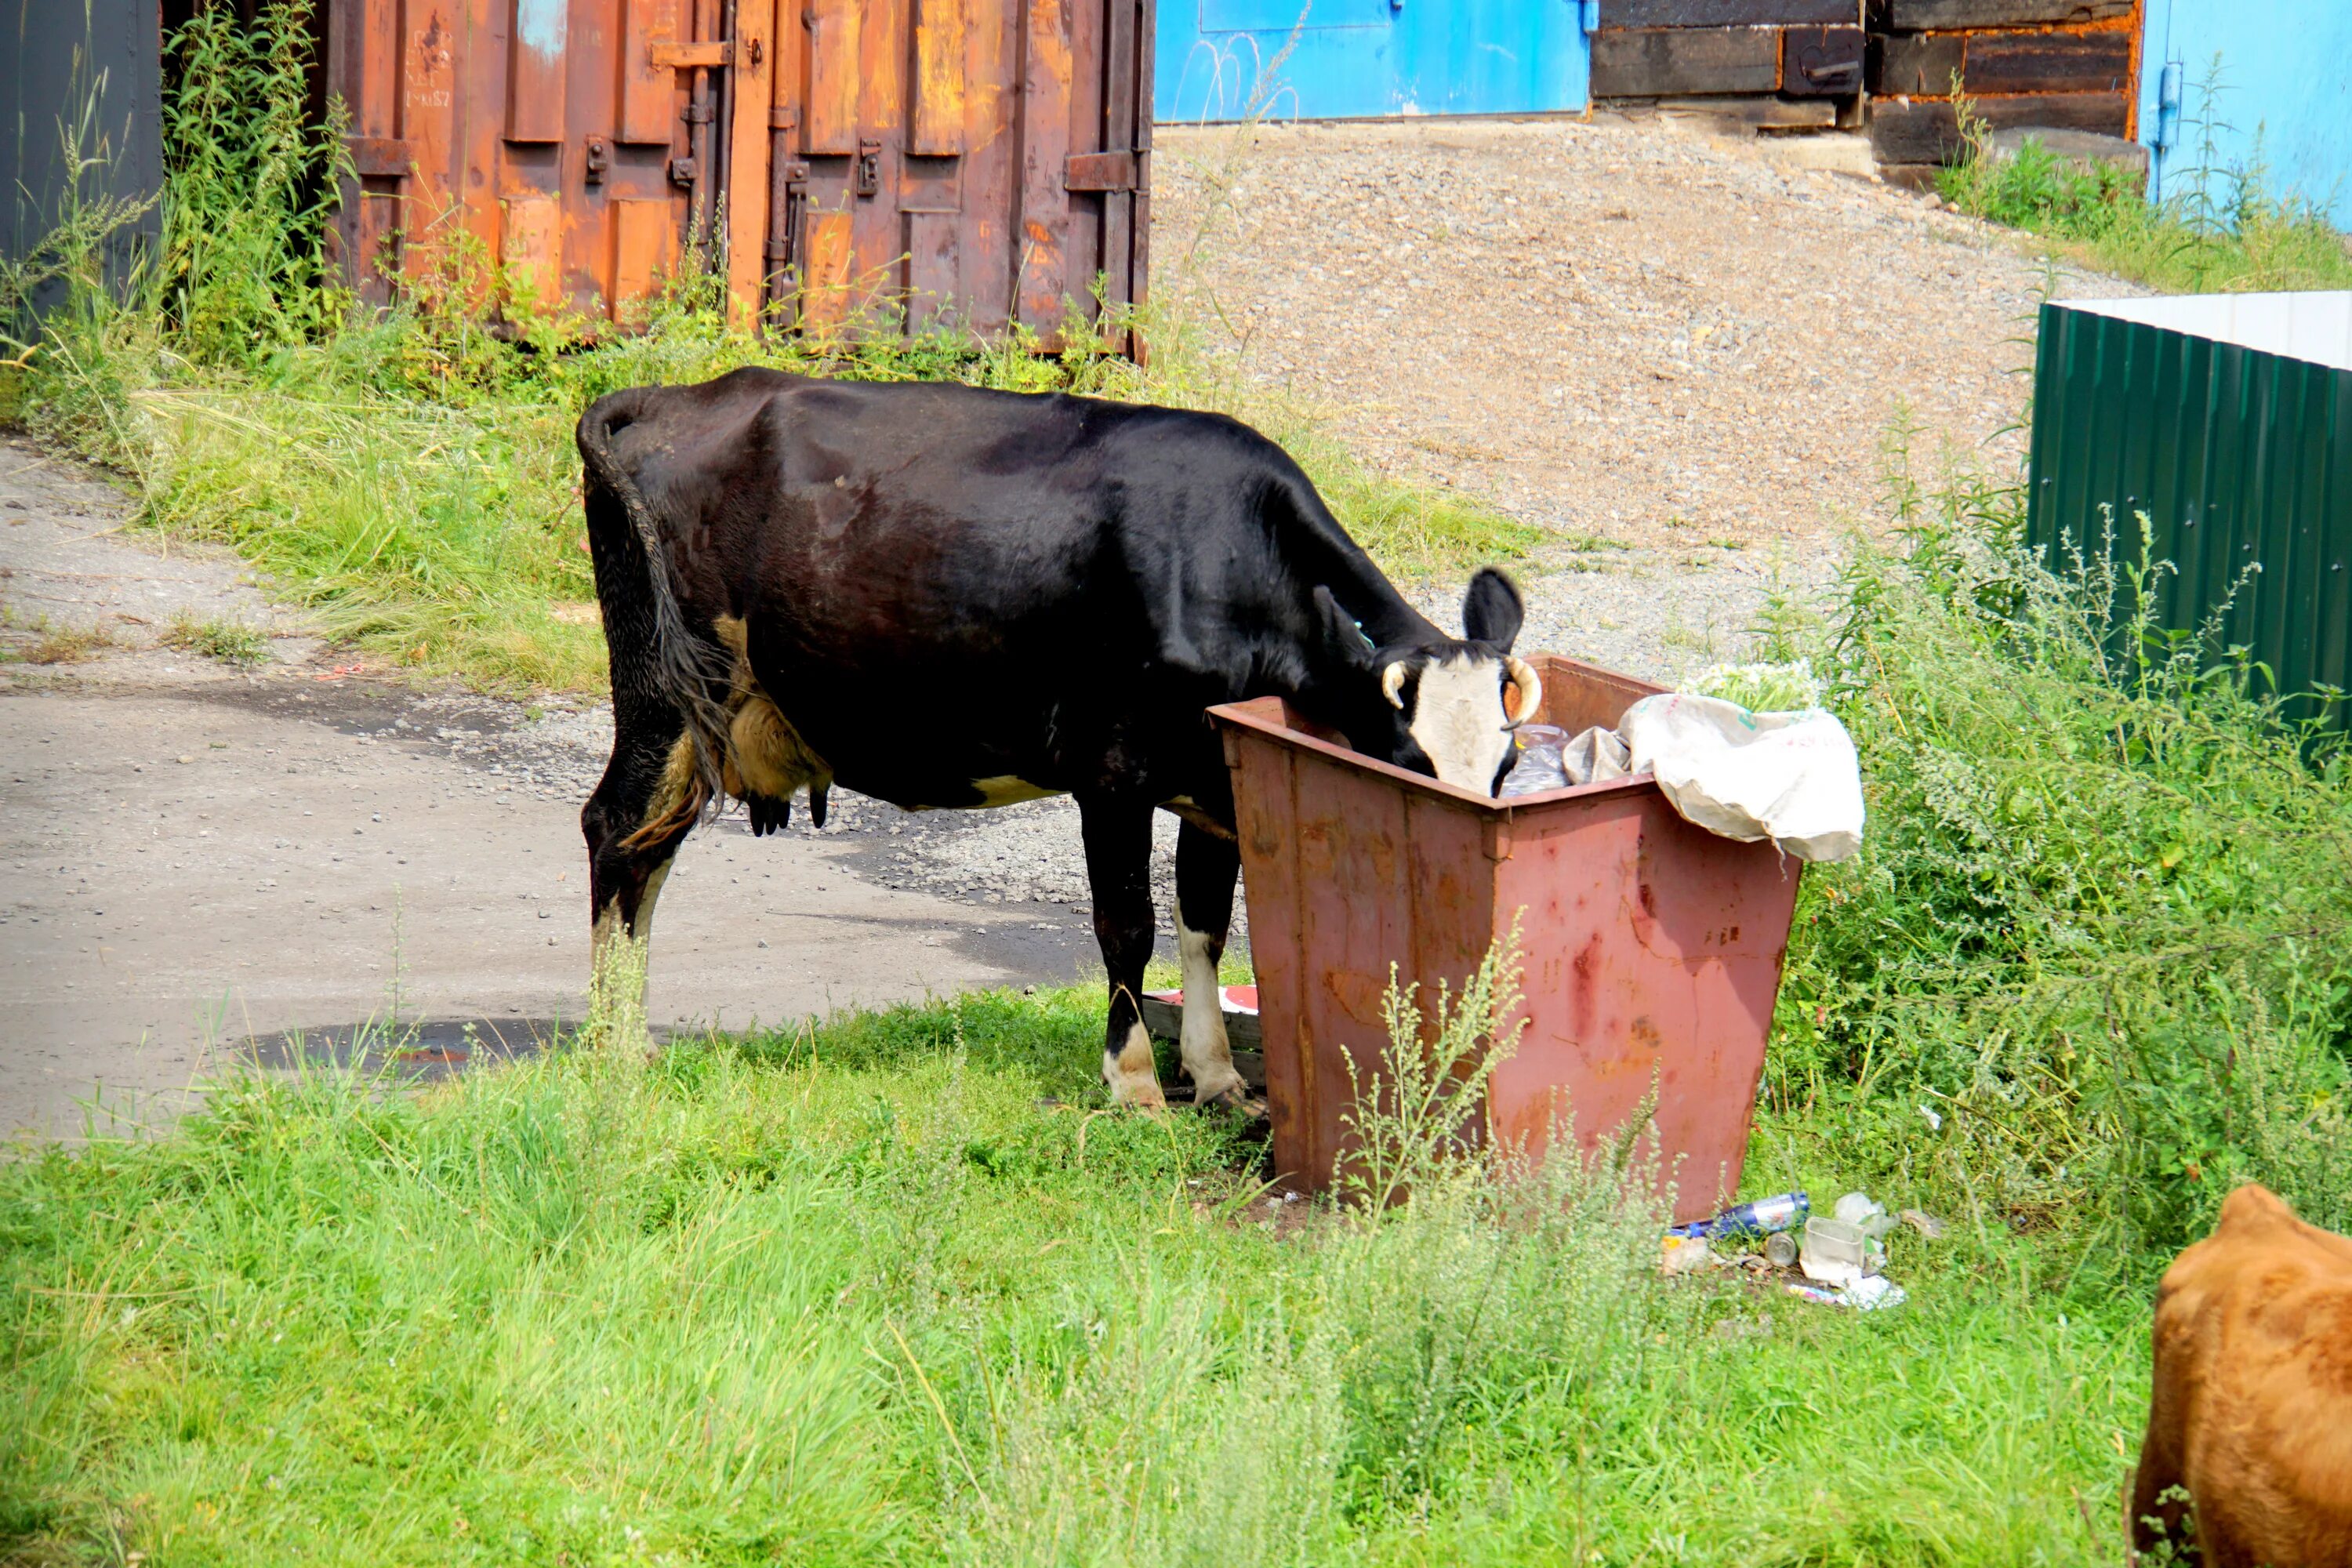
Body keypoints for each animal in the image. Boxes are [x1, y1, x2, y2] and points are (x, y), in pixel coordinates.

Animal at [579, 368, 1543, 1109]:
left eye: (1507, 763)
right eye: (1411, 761)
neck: (1223, 561)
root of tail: (675, 395)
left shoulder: (1215, 780)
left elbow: (1204, 922)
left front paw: (1217, 1076)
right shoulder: (1111, 771)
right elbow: (1128, 926)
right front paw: (1135, 1082)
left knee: (648, 852)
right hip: (665, 689)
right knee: (618, 834)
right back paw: (612, 1049)